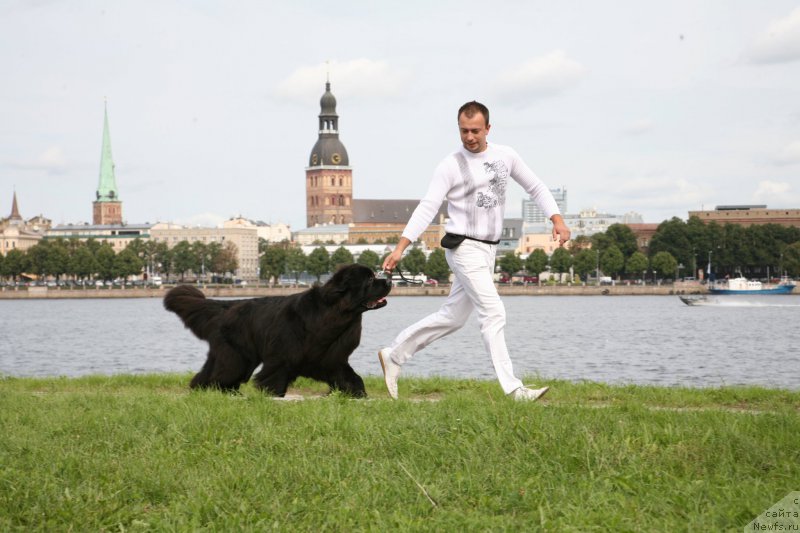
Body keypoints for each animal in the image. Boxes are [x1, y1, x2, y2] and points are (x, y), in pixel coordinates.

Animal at [163, 262, 390, 394]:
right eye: (370, 279)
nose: (388, 280)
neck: (335, 313)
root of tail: (226, 305)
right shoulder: (282, 358)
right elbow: (274, 380)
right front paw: (271, 396)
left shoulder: (332, 359)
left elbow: (351, 378)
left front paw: (357, 394)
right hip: (238, 357)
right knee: (223, 374)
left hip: (228, 354)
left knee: (209, 373)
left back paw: (204, 390)